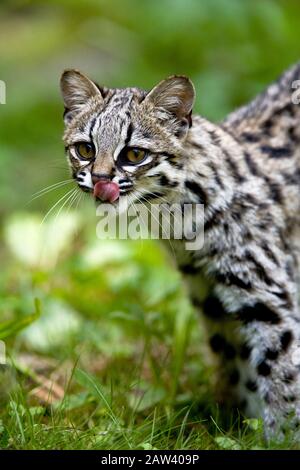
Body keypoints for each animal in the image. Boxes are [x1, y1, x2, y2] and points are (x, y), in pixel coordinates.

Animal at [59, 63, 300, 440]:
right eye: (84, 149)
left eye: (134, 155)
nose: (99, 180)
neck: (178, 219)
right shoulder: (209, 294)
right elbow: (239, 363)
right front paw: (242, 426)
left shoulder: (267, 296)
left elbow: (281, 371)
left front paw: (281, 438)